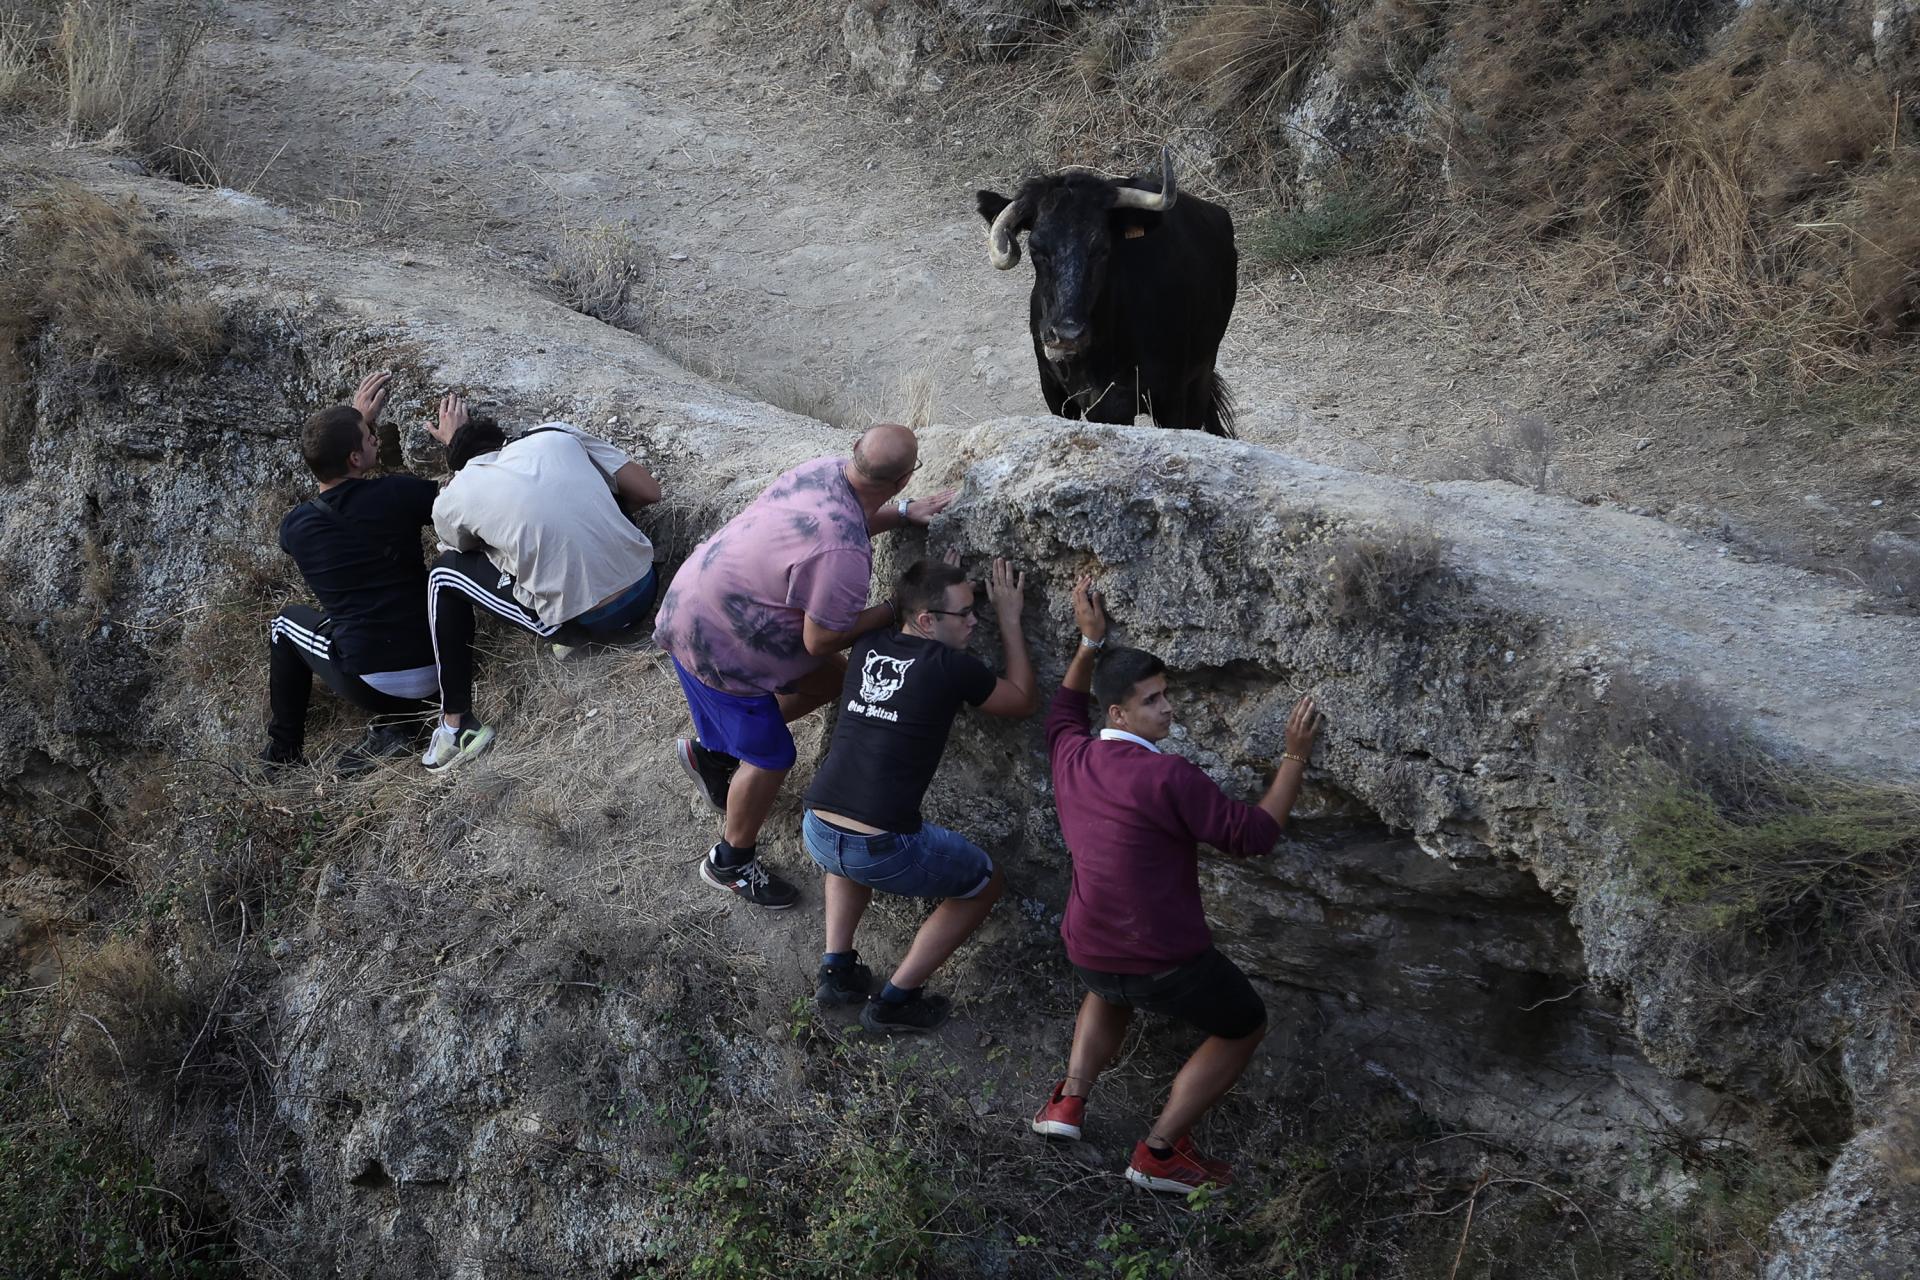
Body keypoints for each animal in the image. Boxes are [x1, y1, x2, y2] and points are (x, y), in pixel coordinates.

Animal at [975, 151, 1244, 435]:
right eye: (1036, 249)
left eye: (1102, 248)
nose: (1067, 335)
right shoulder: (1056, 392)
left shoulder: (1167, 398)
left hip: (1200, 376)